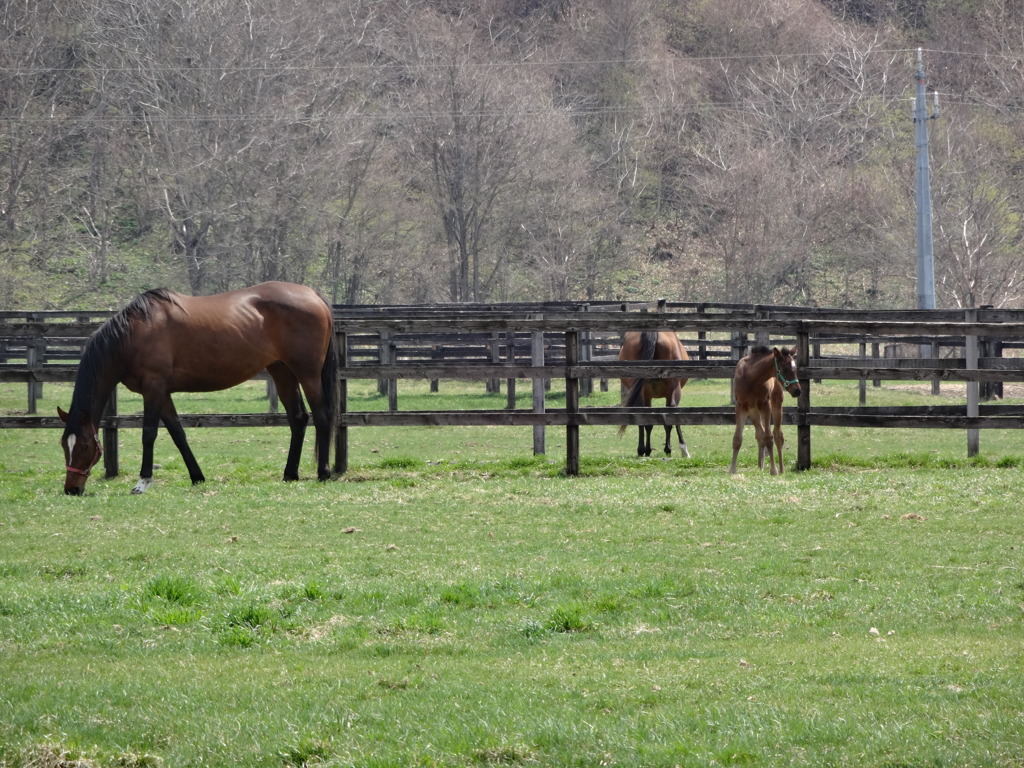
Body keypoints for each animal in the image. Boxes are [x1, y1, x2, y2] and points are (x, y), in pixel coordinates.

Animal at [58, 280, 337, 493]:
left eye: (84, 446)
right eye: (63, 445)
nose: (72, 489)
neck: (133, 334)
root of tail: (314, 295)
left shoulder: (153, 388)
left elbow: (149, 433)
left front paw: (143, 482)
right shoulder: (163, 393)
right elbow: (178, 434)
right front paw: (197, 476)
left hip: (308, 373)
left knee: (322, 415)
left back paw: (323, 472)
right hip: (282, 371)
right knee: (298, 418)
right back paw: (290, 474)